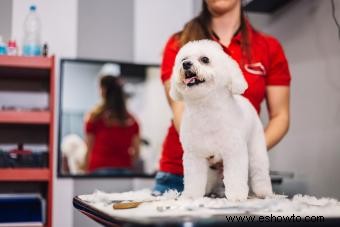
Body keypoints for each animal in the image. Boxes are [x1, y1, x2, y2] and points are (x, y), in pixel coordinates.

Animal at [170, 40, 274, 201]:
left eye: (205, 59)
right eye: (183, 59)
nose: (186, 64)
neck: (206, 109)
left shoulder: (234, 151)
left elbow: (235, 176)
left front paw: (236, 196)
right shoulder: (194, 155)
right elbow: (194, 179)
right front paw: (191, 196)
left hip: (256, 148)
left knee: (259, 170)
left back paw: (263, 191)